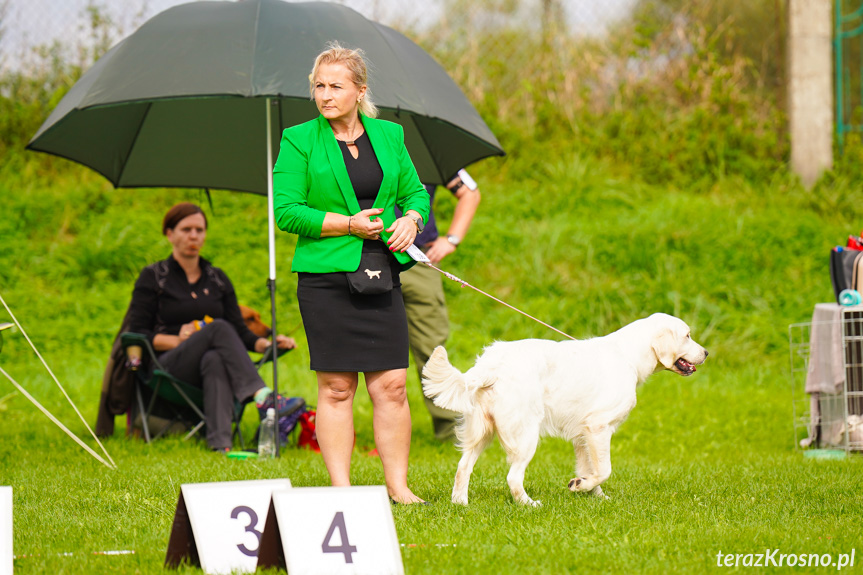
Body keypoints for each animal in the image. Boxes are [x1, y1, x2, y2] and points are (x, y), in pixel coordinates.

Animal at [424, 312, 708, 506]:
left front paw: (592, 494)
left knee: (463, 467)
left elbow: (590, 468)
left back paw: (461, 504)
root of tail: (489, 364)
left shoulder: (583, 436)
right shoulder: (598, 427)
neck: (628, 357)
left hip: (481, 433)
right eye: (687, 335)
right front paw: (581, 486)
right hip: (526, 436)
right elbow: (604, 470)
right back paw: (528, 504)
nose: (706, 353)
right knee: (513, 477)